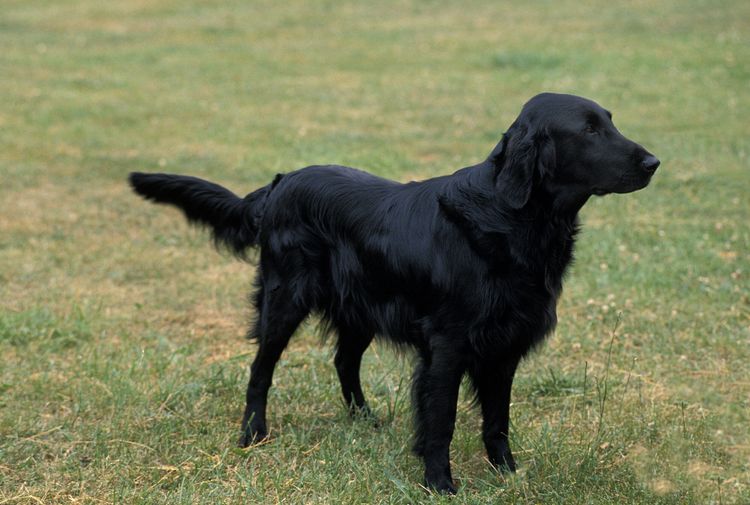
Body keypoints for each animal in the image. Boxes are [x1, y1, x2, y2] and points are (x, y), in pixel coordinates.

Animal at [129, 92, 656, 490]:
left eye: (610, 122)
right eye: (588, 131)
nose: (654, 162)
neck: (513, 220)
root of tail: (279, 183)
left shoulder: (504, 346)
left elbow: (497, 419)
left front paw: (508, 474)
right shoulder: (448, 346)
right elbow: (441, 420)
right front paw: (440, 483)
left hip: (359, 308)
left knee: (343, 361)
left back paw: (363, 420)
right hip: (285, 299)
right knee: (261, 369)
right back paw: (253, 434)